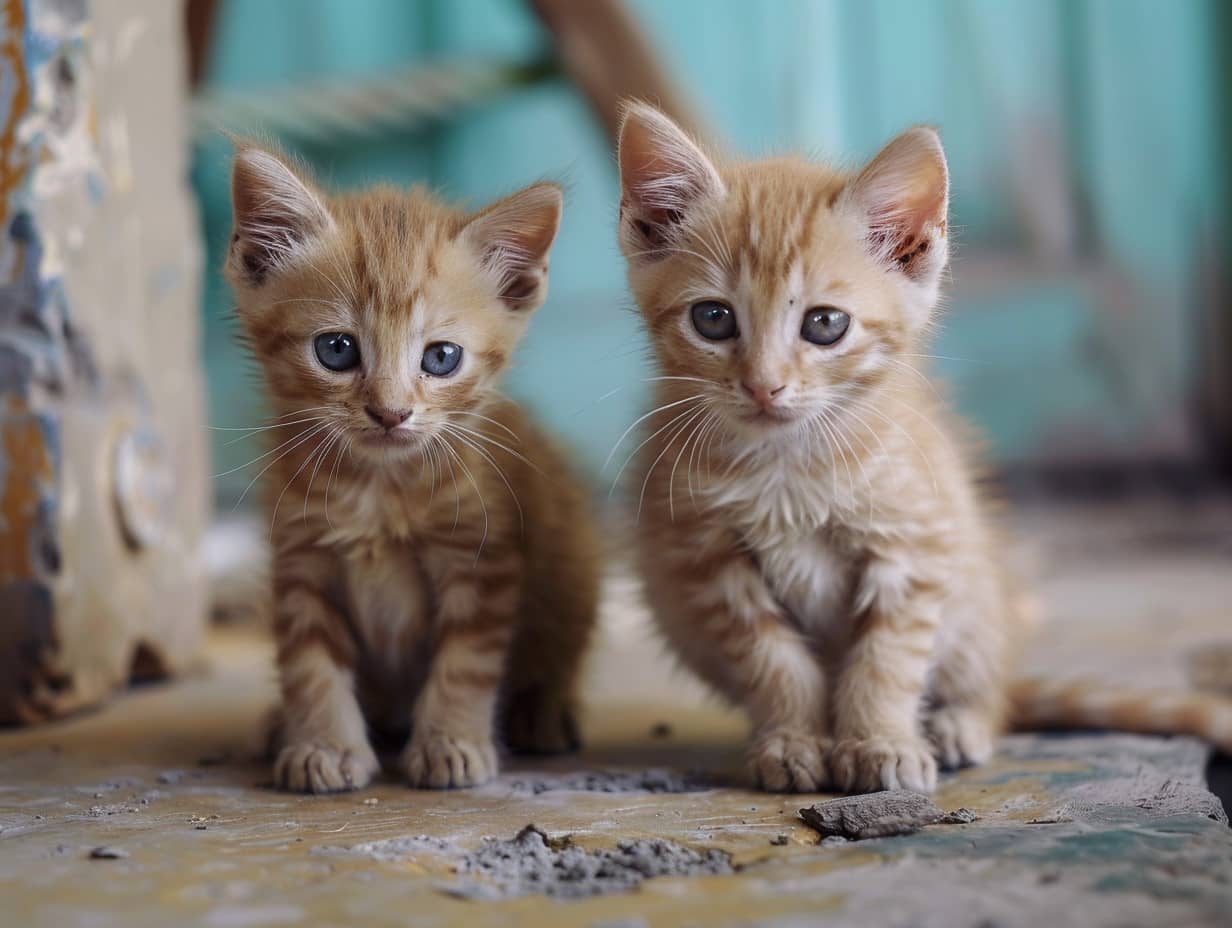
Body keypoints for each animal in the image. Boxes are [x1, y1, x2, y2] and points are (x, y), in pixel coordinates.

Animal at [230, 144, 601, 788]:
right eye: (336, 349)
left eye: (441, 358)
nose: (390, 412)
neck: (378, 488)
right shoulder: (300, 560)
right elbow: (310, 665)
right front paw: (324, 744)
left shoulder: (481, 559)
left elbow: (465, 663)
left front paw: (451, 741)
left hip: (572, 565)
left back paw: (542, 712)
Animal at [616, 104, 1020, 793]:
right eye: (713, 319)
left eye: (825, 324)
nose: (763, 385)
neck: (790, 467)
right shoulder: (708, 558)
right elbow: (772, 660)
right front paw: (793, 740)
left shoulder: (913, 542)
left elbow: (886, 658)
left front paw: (880, 742)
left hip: (974, 596)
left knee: (992, 686)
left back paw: (957, 723)